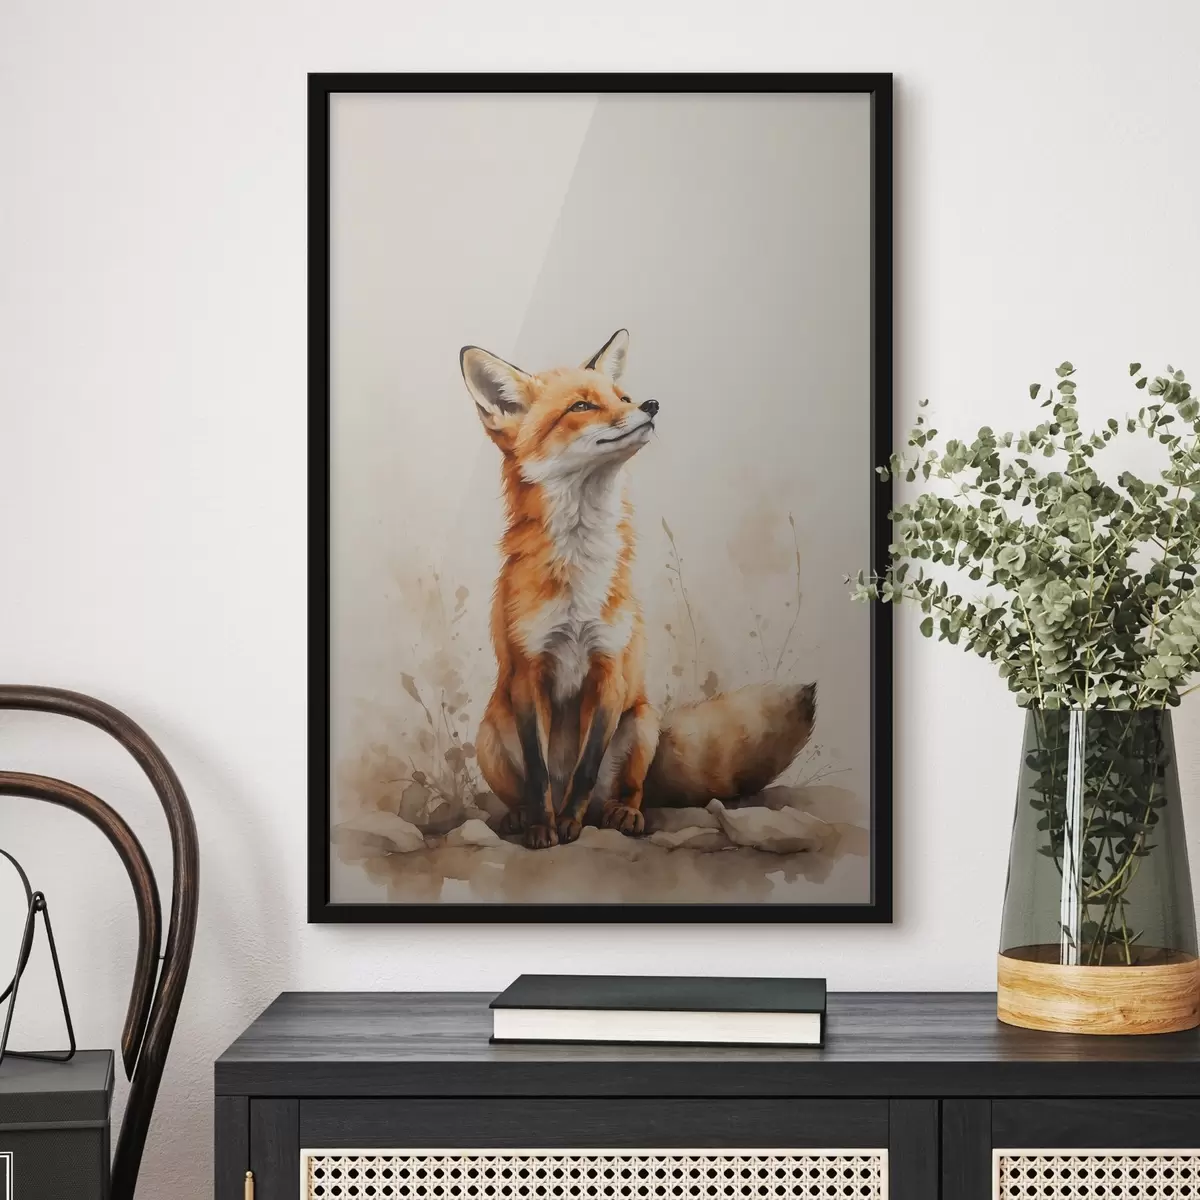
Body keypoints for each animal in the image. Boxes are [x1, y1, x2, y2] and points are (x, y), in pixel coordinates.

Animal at [460, 329, 817, 850]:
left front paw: (568, 825)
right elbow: (539, 773)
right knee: (524, 789)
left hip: (643, 724)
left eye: (623, 398)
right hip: (489, 731)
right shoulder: (529, 673)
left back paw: (618, 814)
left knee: (627, 790)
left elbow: (586, 769)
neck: (580, 573)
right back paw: (521, 817)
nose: (650, 405)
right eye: (582, 406)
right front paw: (544, 827)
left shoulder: (610, 670)